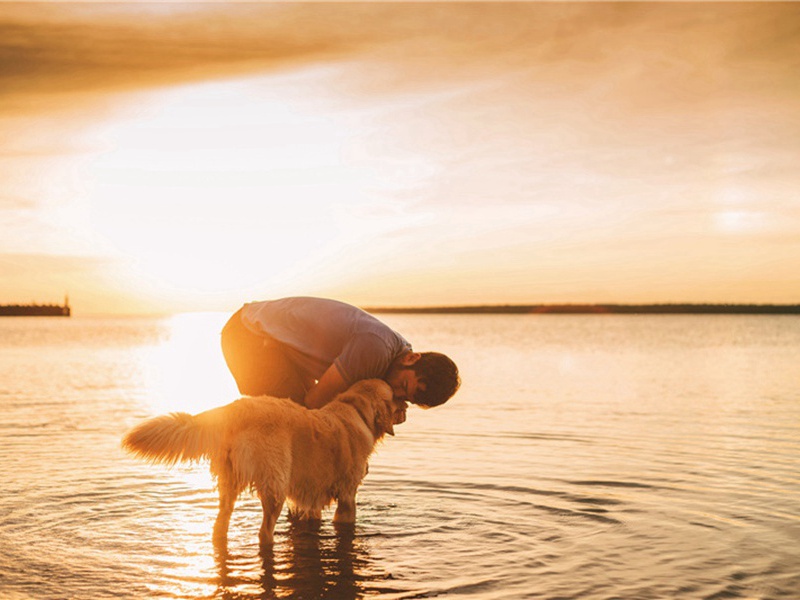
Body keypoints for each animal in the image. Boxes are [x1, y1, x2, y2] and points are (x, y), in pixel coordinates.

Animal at [121, 382, 404, 548]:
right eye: (395, 395)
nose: (406, 406)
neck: (357, 411)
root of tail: (235, 410)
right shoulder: (347, 495)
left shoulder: (310, 495)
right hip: (275, 483)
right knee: (264, 531)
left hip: (229, 483)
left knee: (219, 525)